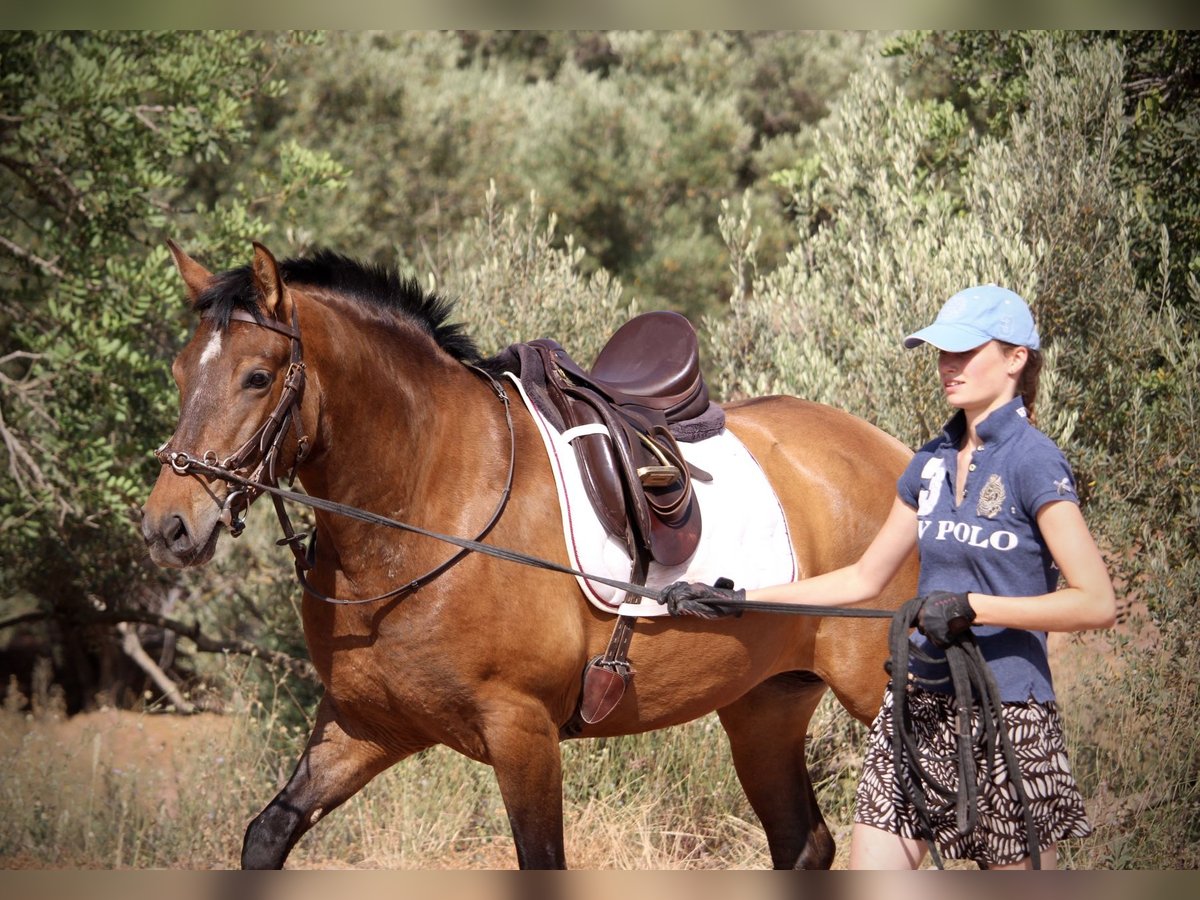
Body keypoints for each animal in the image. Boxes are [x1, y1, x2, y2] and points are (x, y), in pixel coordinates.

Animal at [140, 240, 918, 869]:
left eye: (257, 377)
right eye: (178, 374)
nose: (167, 528)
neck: (425, 506)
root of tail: (897, 453)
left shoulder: (522, 733)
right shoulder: (362, 727)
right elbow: (267, 834)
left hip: (876, 691)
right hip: (765, 704)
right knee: (803, 843)